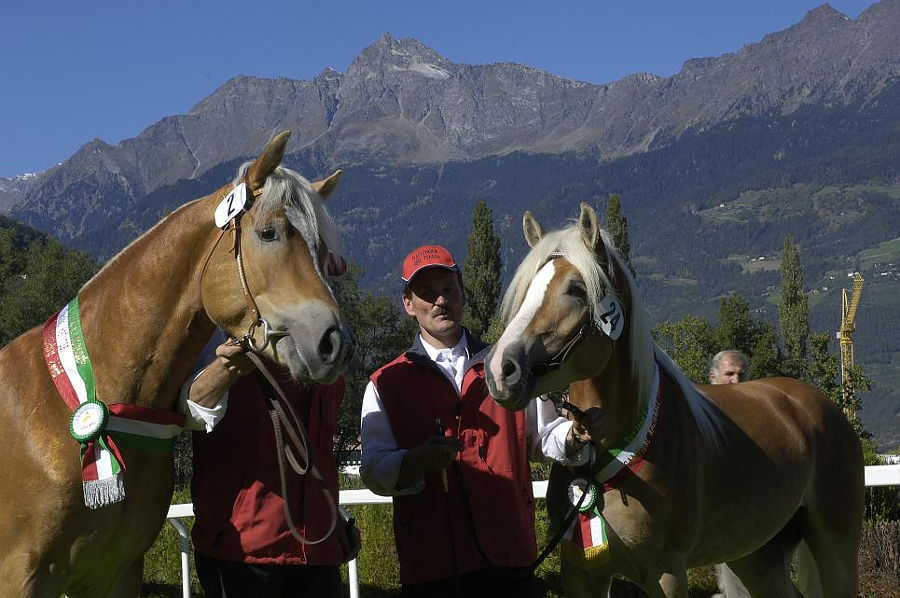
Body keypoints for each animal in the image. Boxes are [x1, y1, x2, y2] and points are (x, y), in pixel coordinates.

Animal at [486, 204, 864, 596]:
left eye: (576, 288)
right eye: (527, 288)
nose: (501, 369)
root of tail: (816, 405)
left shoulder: (666, 573)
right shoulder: (581, 573)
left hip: (836, 548)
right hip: (756, 555)